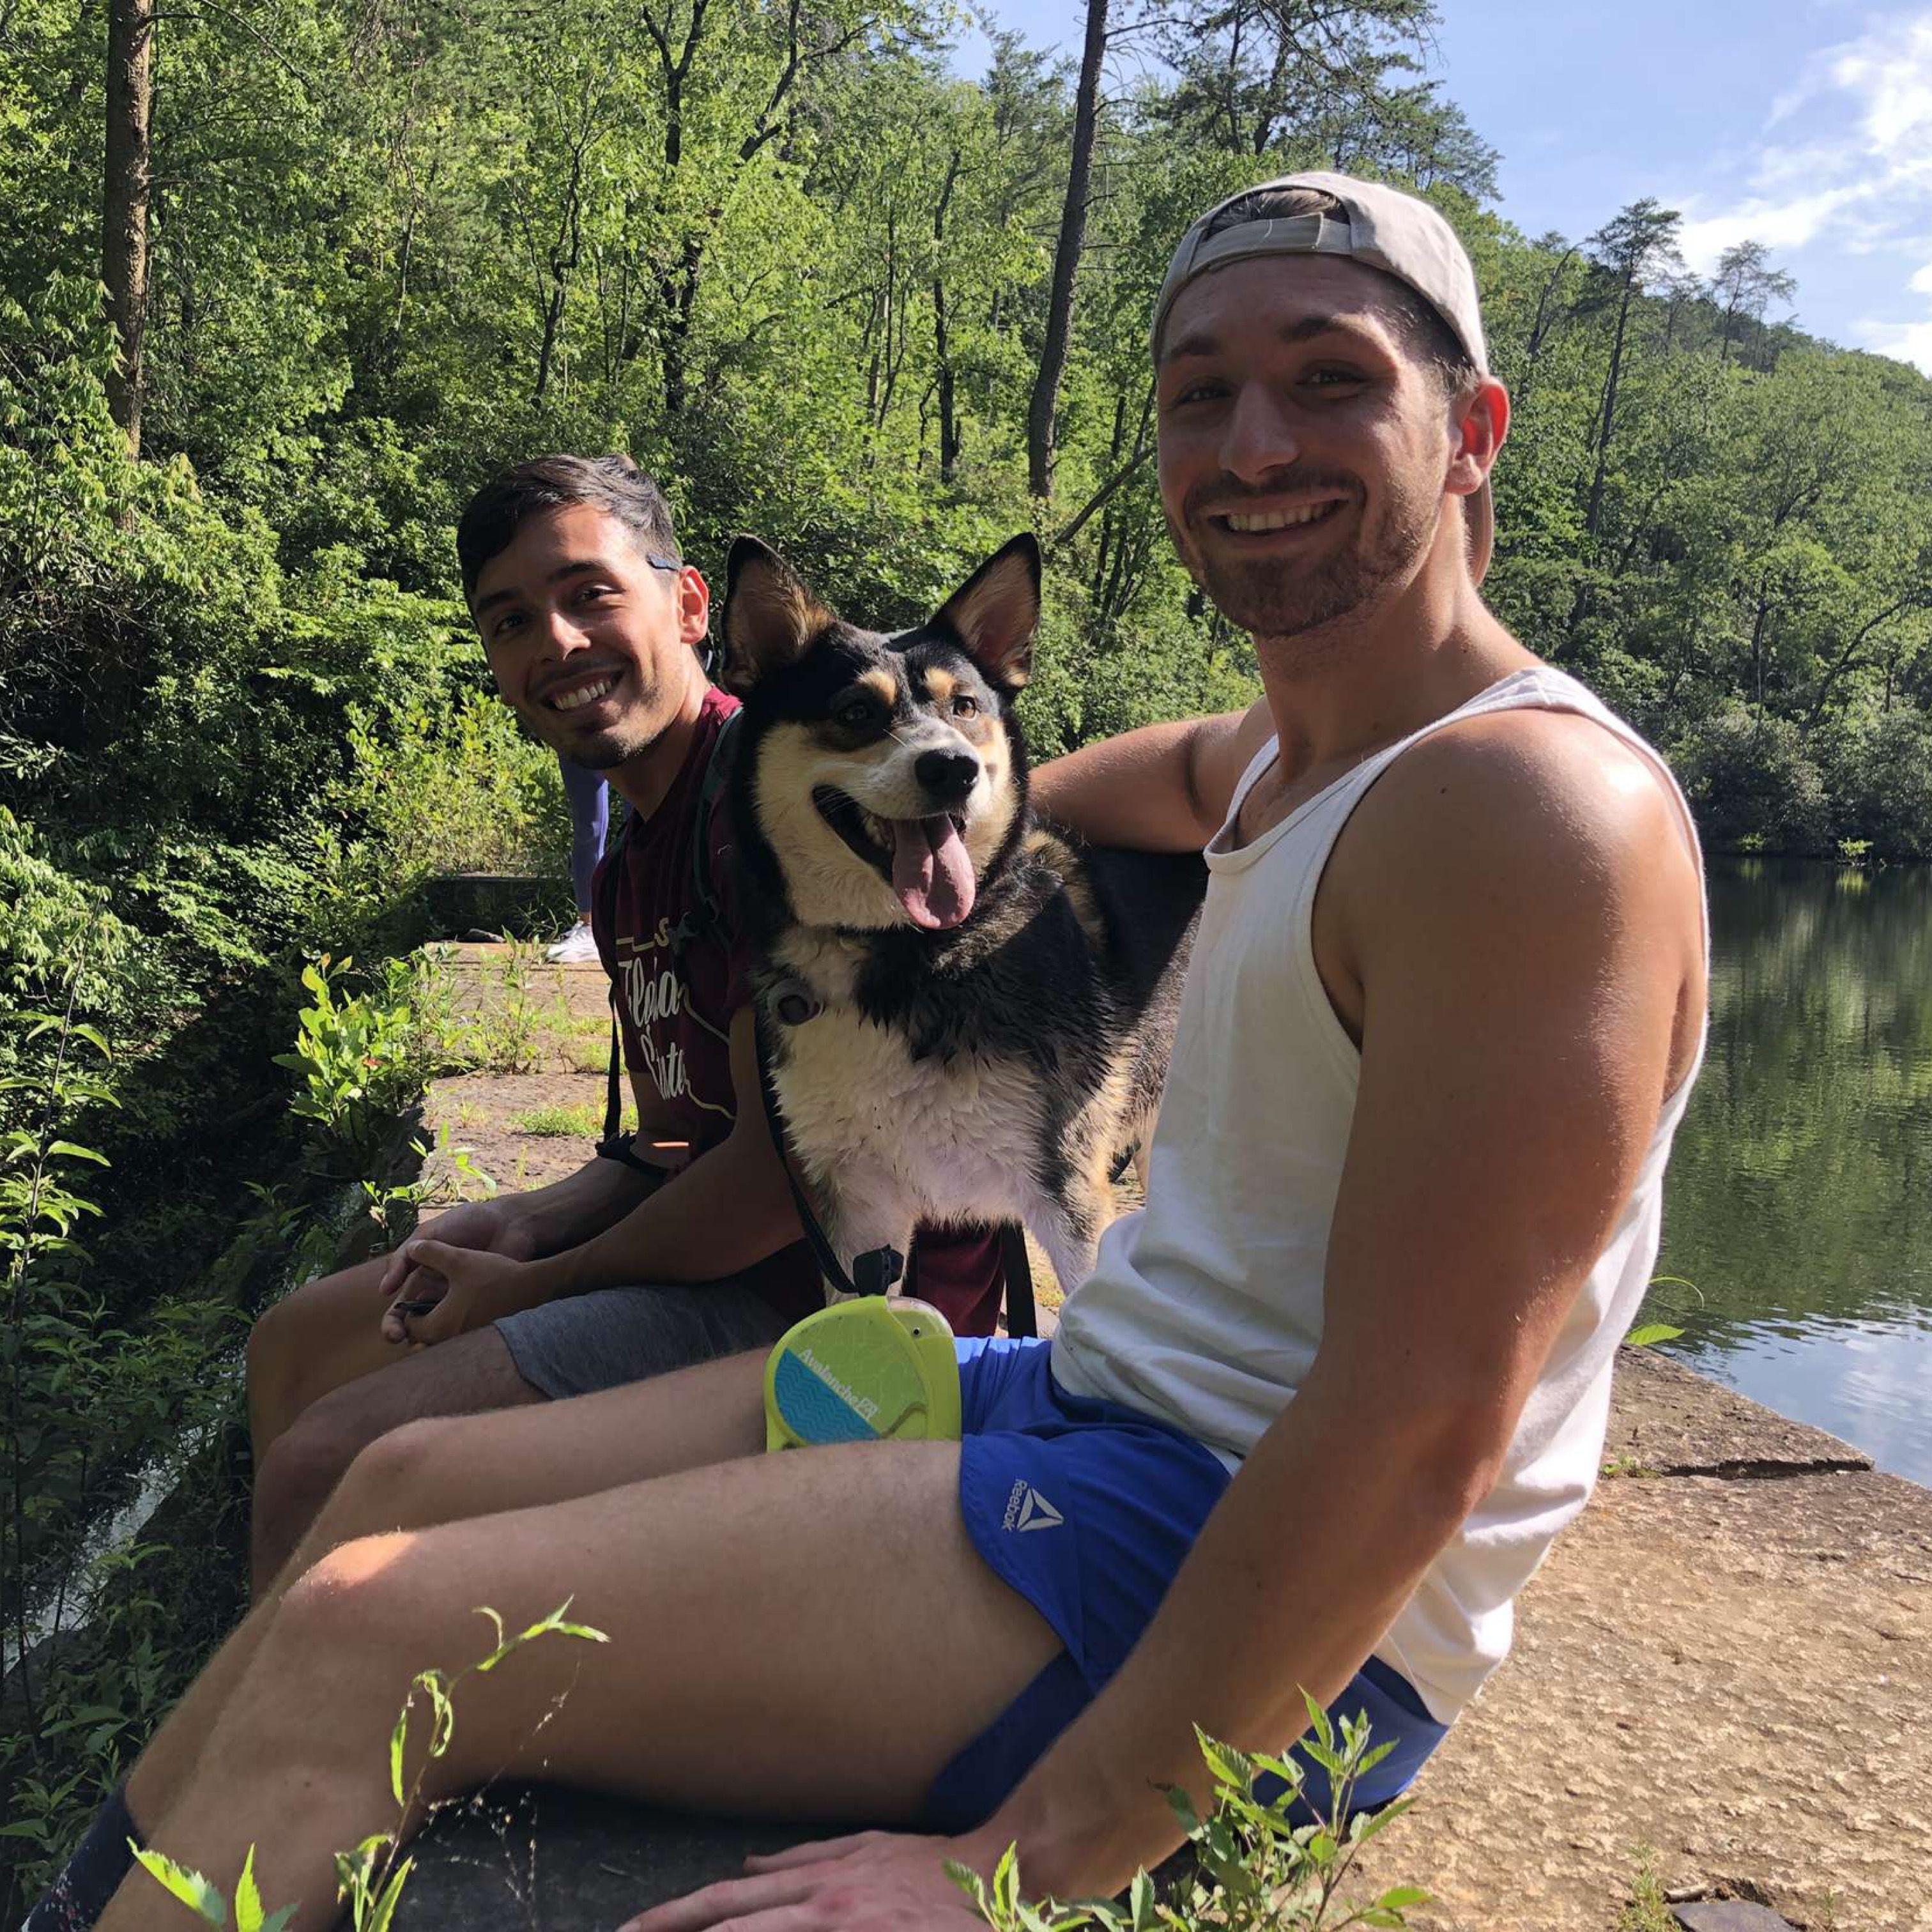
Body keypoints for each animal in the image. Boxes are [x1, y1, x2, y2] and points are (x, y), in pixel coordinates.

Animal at [718, 530, 1205, 1299]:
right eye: (856, 712)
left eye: (966, 707)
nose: (952, 768)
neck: (907, 953)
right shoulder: (859, 1214)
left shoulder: (1068, 1202)